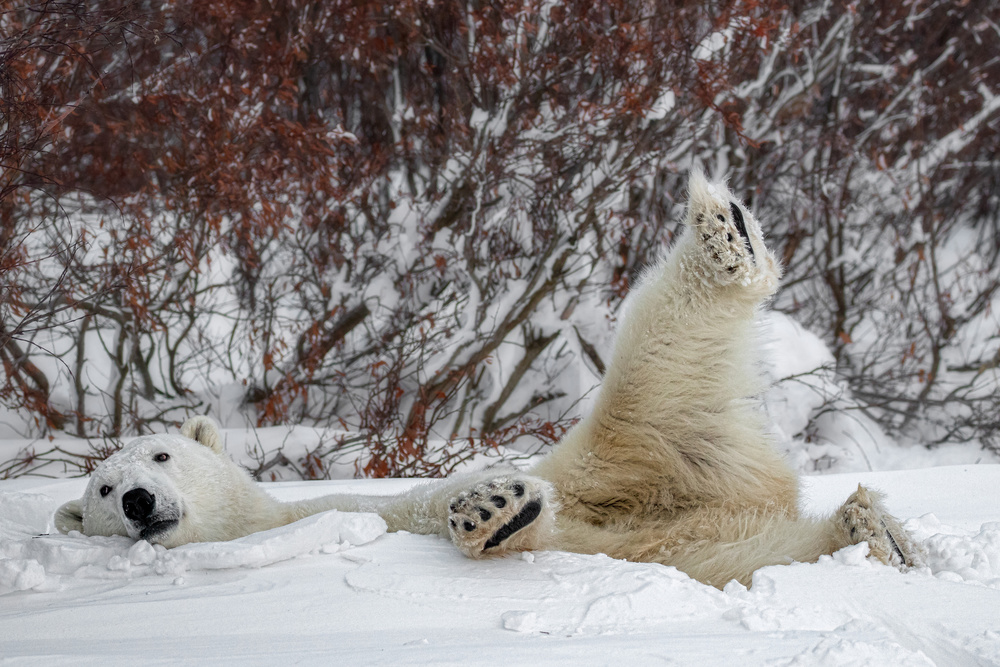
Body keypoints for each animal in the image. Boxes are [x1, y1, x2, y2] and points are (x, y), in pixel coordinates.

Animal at [56, 174, 920, 588]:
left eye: (160, 454)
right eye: (102, 489)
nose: (138, 500)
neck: (258, 523)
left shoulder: (374, 505)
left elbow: (430, 501)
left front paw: (492, 501)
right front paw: (500, 513)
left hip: (638, 449)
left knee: (651, 372)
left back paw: (721, 235)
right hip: (704, 533)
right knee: (760, 544)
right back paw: (874, 535)